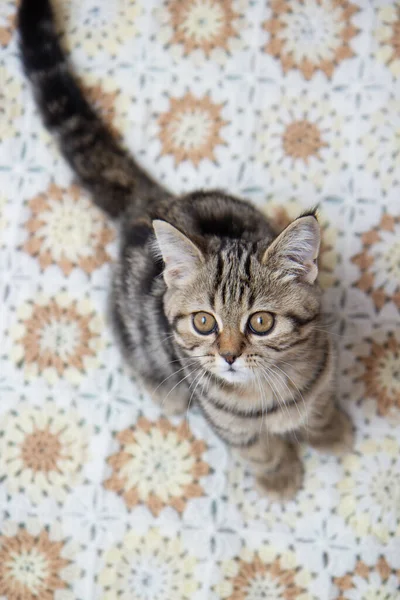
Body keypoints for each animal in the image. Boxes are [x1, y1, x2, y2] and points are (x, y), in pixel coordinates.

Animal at [18, 0, 354, 500]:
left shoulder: (323, 370)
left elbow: (318, 407)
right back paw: (165, 391)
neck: (269, 390)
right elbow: (256, 446)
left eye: (261, 322)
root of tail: (150, 204)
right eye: (203, 322)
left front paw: (329, 430)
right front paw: (279, 475)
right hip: (143, 342)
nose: (229, 356)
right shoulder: (224, 419)